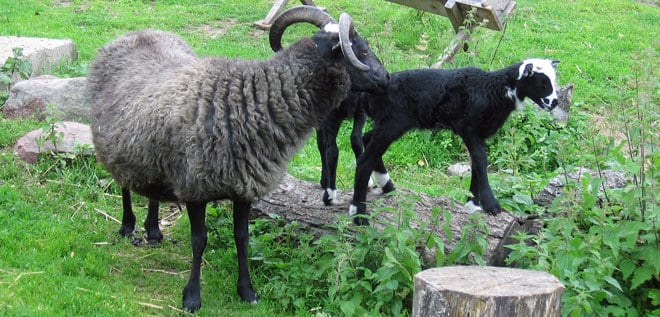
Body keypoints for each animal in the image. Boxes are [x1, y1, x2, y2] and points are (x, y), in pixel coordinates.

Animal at [87, 5, 386, 312]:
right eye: (362, 50)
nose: (386, 77)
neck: (253, 102)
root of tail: (135, 33)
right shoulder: (195, 186)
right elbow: (199, 240)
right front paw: (192, 297)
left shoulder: (245, 187)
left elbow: (242, 238)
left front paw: (247, 291)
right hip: (115, 141)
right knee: (123, 182)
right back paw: (127, 225)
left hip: (151, 151)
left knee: (150, 187)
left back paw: (154, 230)